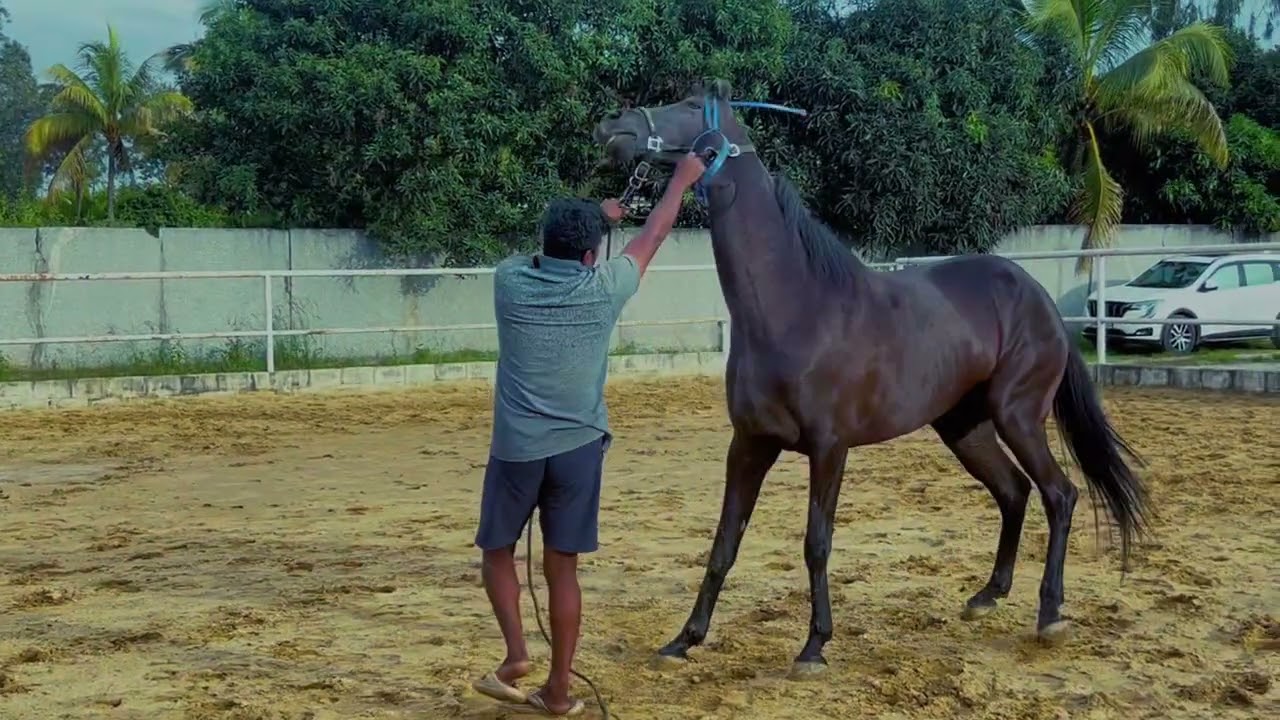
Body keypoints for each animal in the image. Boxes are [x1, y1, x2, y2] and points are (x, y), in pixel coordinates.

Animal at [591, 80, 1150, 678]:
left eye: (692, 107)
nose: (614, 127)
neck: (796, 307)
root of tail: (1037, 296)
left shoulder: (829, 447)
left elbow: (816, 542)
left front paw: (814, 646)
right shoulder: (748, 445)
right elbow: (723, 543)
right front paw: (684, 640)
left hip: (1018, 417)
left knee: (1059, 494)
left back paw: (1050, 615)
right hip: (965, 428)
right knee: (1014, 492)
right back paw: (986, 596)